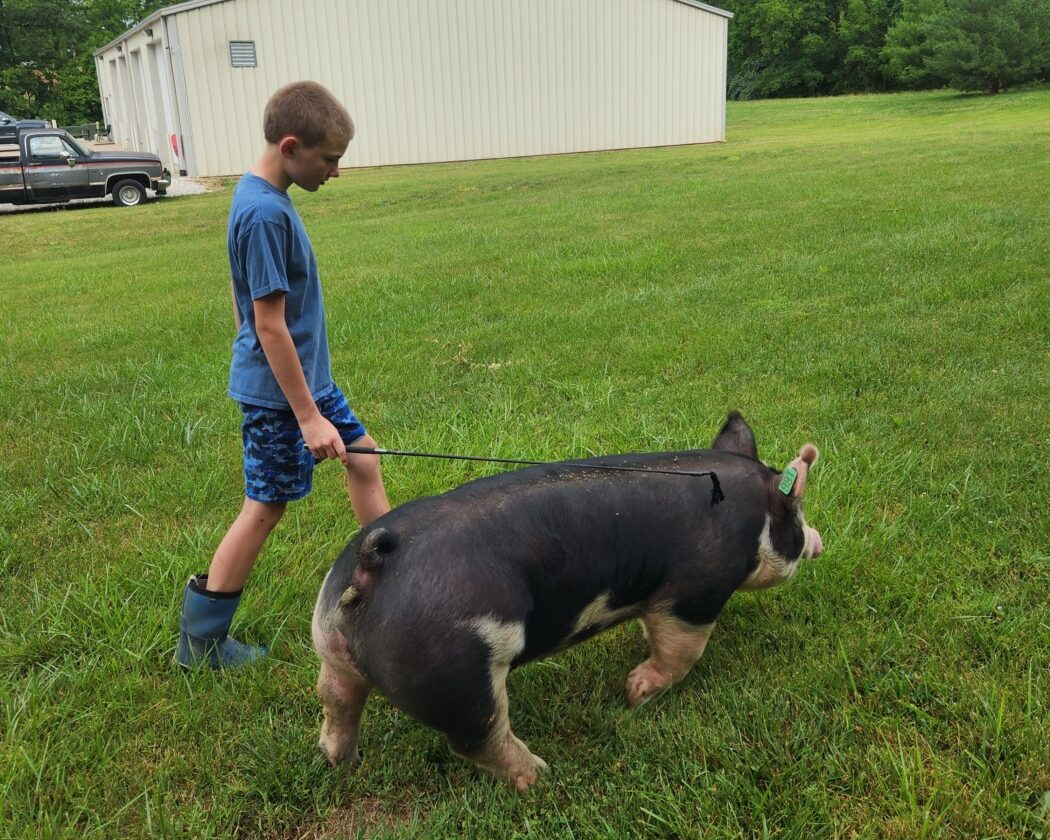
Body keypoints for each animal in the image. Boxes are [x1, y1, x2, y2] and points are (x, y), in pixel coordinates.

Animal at [312, 411, 823, 791]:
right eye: (796, 520)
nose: (817, 541)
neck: (748, 516)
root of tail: (371, 565)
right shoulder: (694, 591)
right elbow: (681, 650)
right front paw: (634, 695)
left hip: (331, 644)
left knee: (335, 699)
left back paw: (346, 764)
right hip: (456, 676)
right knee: (477, 739)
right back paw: (541, 776)